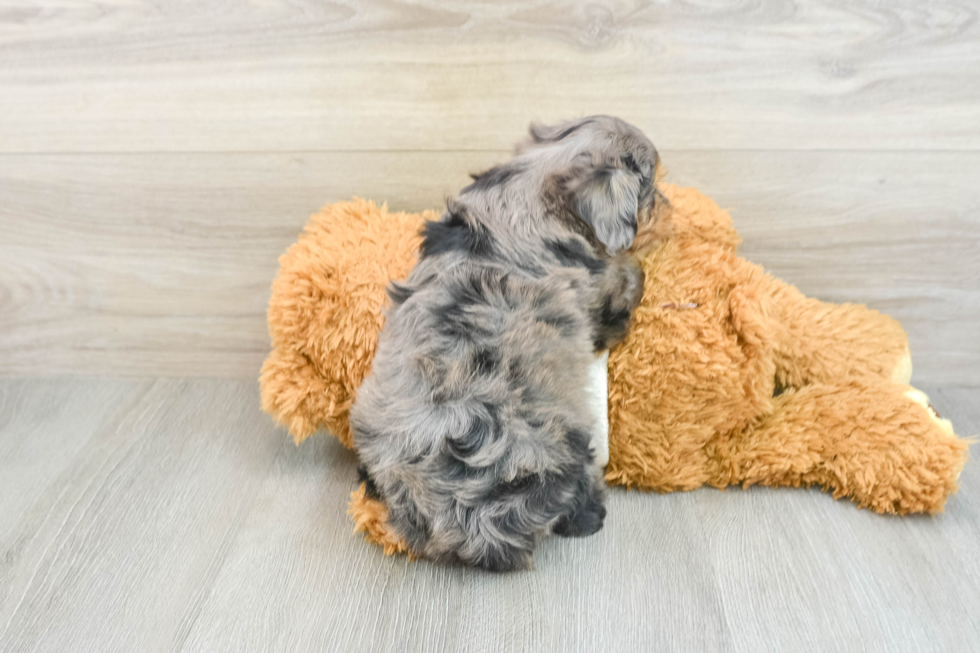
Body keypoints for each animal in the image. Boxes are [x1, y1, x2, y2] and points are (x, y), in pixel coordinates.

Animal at [348, 117, 664, 572]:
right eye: (649, 185)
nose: (667, 204)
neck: (528, 186)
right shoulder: (597, 295)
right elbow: (624, 280)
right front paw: (637, 271)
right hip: (559, 441)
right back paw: (591, 513)